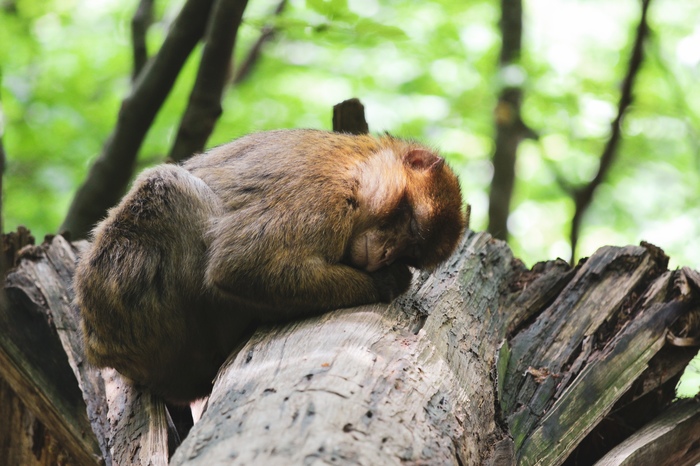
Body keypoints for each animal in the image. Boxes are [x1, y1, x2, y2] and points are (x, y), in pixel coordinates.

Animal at [74, 127, 464, 400]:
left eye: (411, 251)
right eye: (410, 224)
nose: (386, 255)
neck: (361, 166)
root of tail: (100, 349)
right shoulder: (322, 192)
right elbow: (241, 266)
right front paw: (387, 283)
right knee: (169, 186)